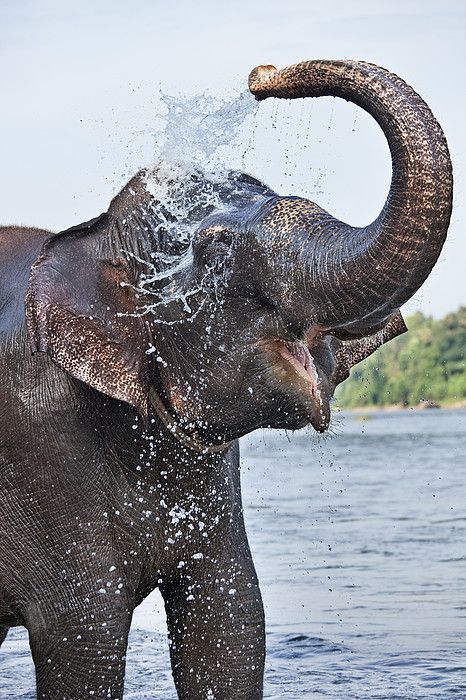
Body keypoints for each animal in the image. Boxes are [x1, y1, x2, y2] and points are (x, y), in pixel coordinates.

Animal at [0, 59, 452, 699]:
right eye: (213, 251)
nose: (261, 74)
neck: (86, 241)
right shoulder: (39, 447)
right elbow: (83, 635)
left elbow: (229, 624)